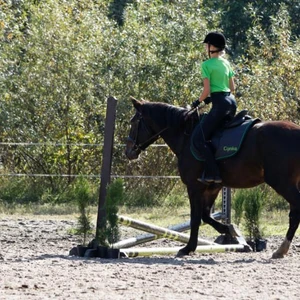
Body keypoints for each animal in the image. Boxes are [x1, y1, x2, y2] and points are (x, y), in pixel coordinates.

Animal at [124, 97, 300, 258]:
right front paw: (229, 230)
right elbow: (205, 216)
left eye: (133, 122)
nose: (128, 152)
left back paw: (281, 249)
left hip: (282, 183)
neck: (186, 135)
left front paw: (188, 248)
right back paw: (281, 250)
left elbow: (195, 218)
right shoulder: (212, 187)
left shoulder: (194, 187)